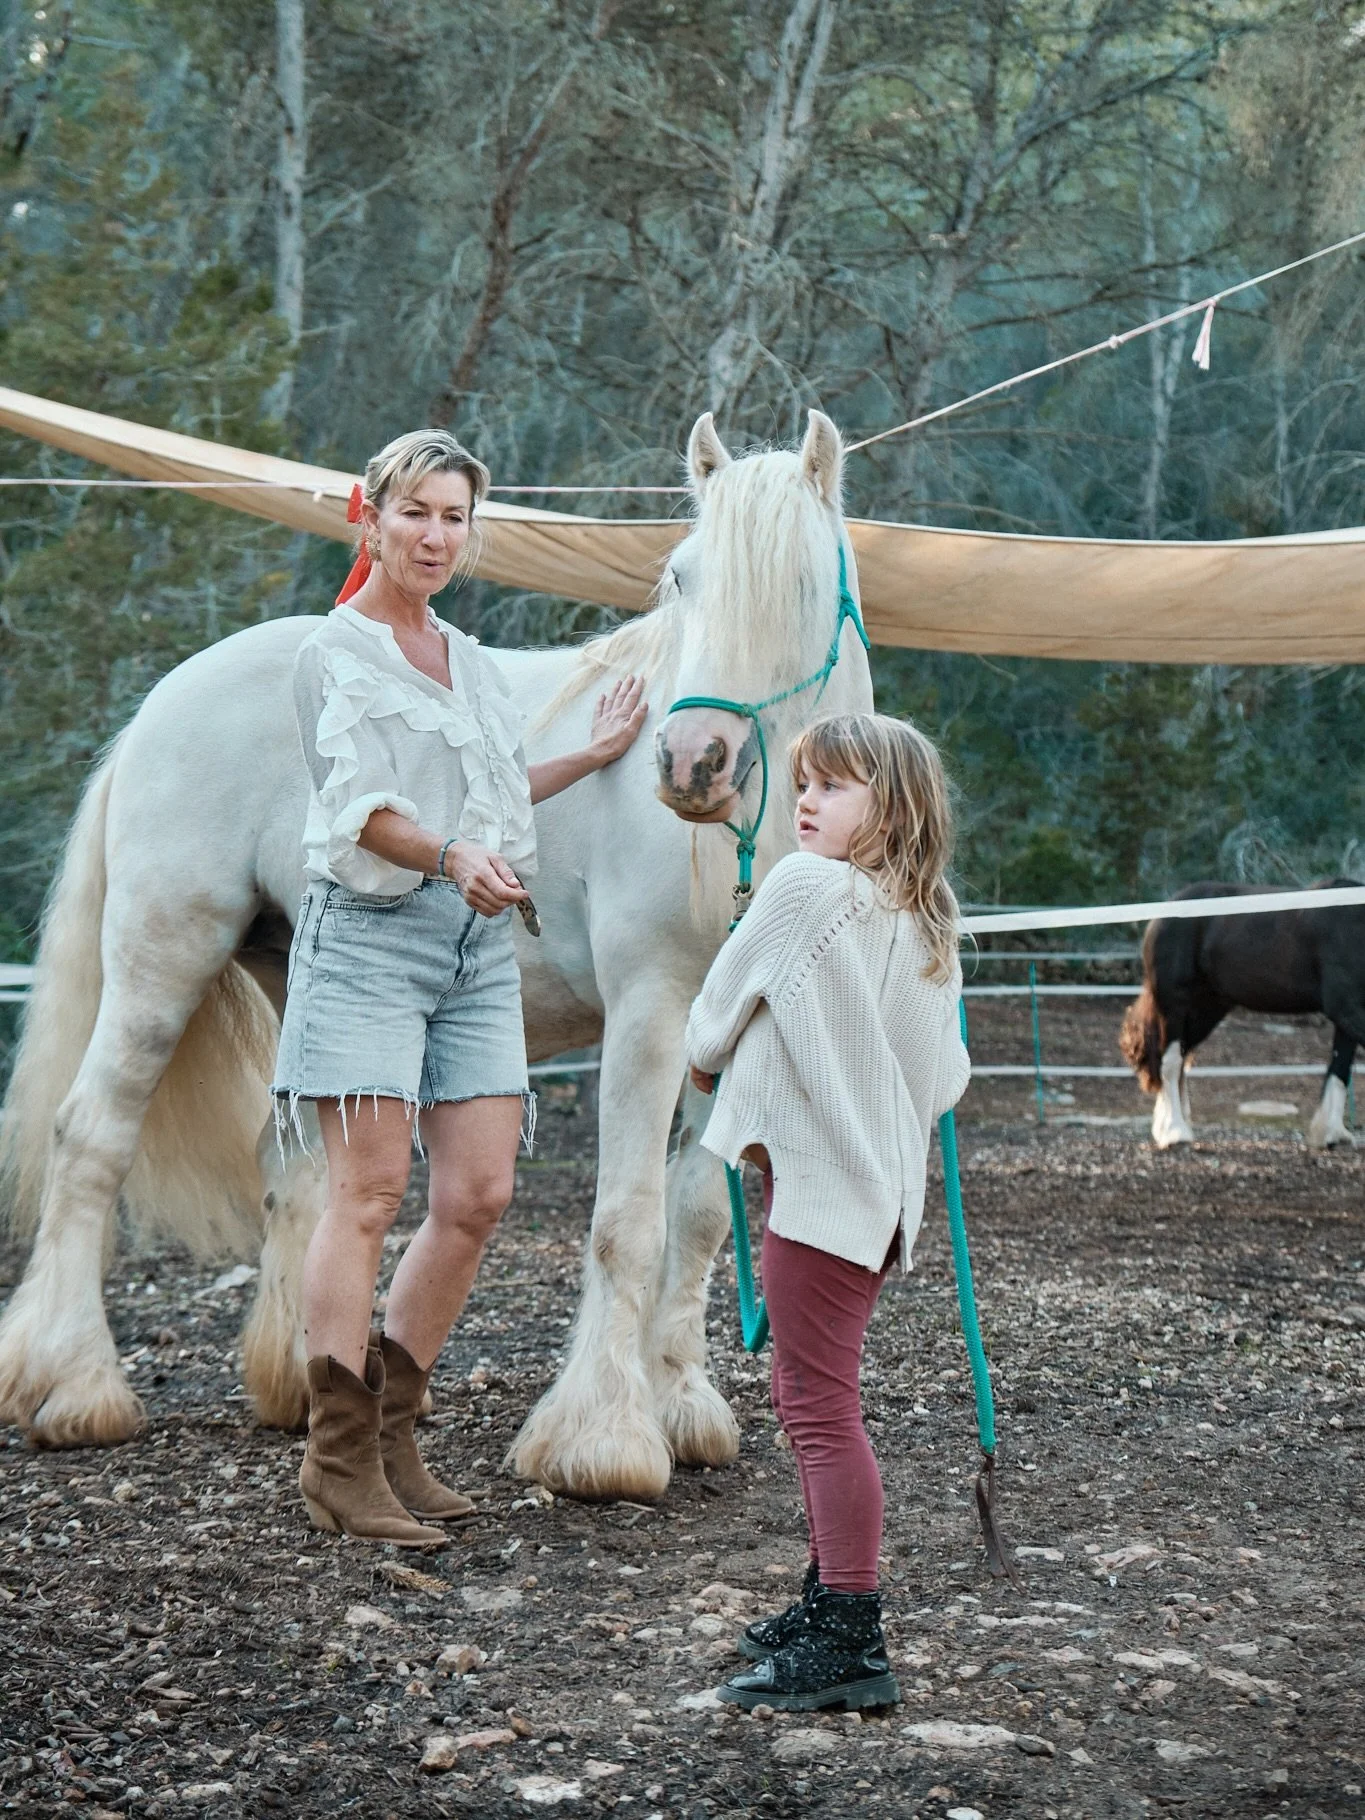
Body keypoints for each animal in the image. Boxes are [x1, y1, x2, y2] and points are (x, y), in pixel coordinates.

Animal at [0, 409, 873, 1499]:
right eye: (681, 576)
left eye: (803, 582)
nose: (691, 764)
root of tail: (163, 702)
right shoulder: (650, 1013)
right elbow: (627, 1218)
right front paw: (603, 1438)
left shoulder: (731, 1026)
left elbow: (697, 1215)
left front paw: (682, 1406)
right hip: (162, 963)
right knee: (90, 1141)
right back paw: (74, 1387)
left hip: (301, 991)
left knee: (296, 1172)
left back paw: (297, 1382)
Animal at [1118, 879, 1365, 1150]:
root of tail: (1162, 914)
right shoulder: (1347, 1010)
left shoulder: (1346, 1018)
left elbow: (1340, 1069)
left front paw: (1332, 1135)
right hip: (1174, 1006)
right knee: (1170, 1062)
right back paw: (1174, 1132)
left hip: (1206, 1011)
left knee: (1180, 1058)